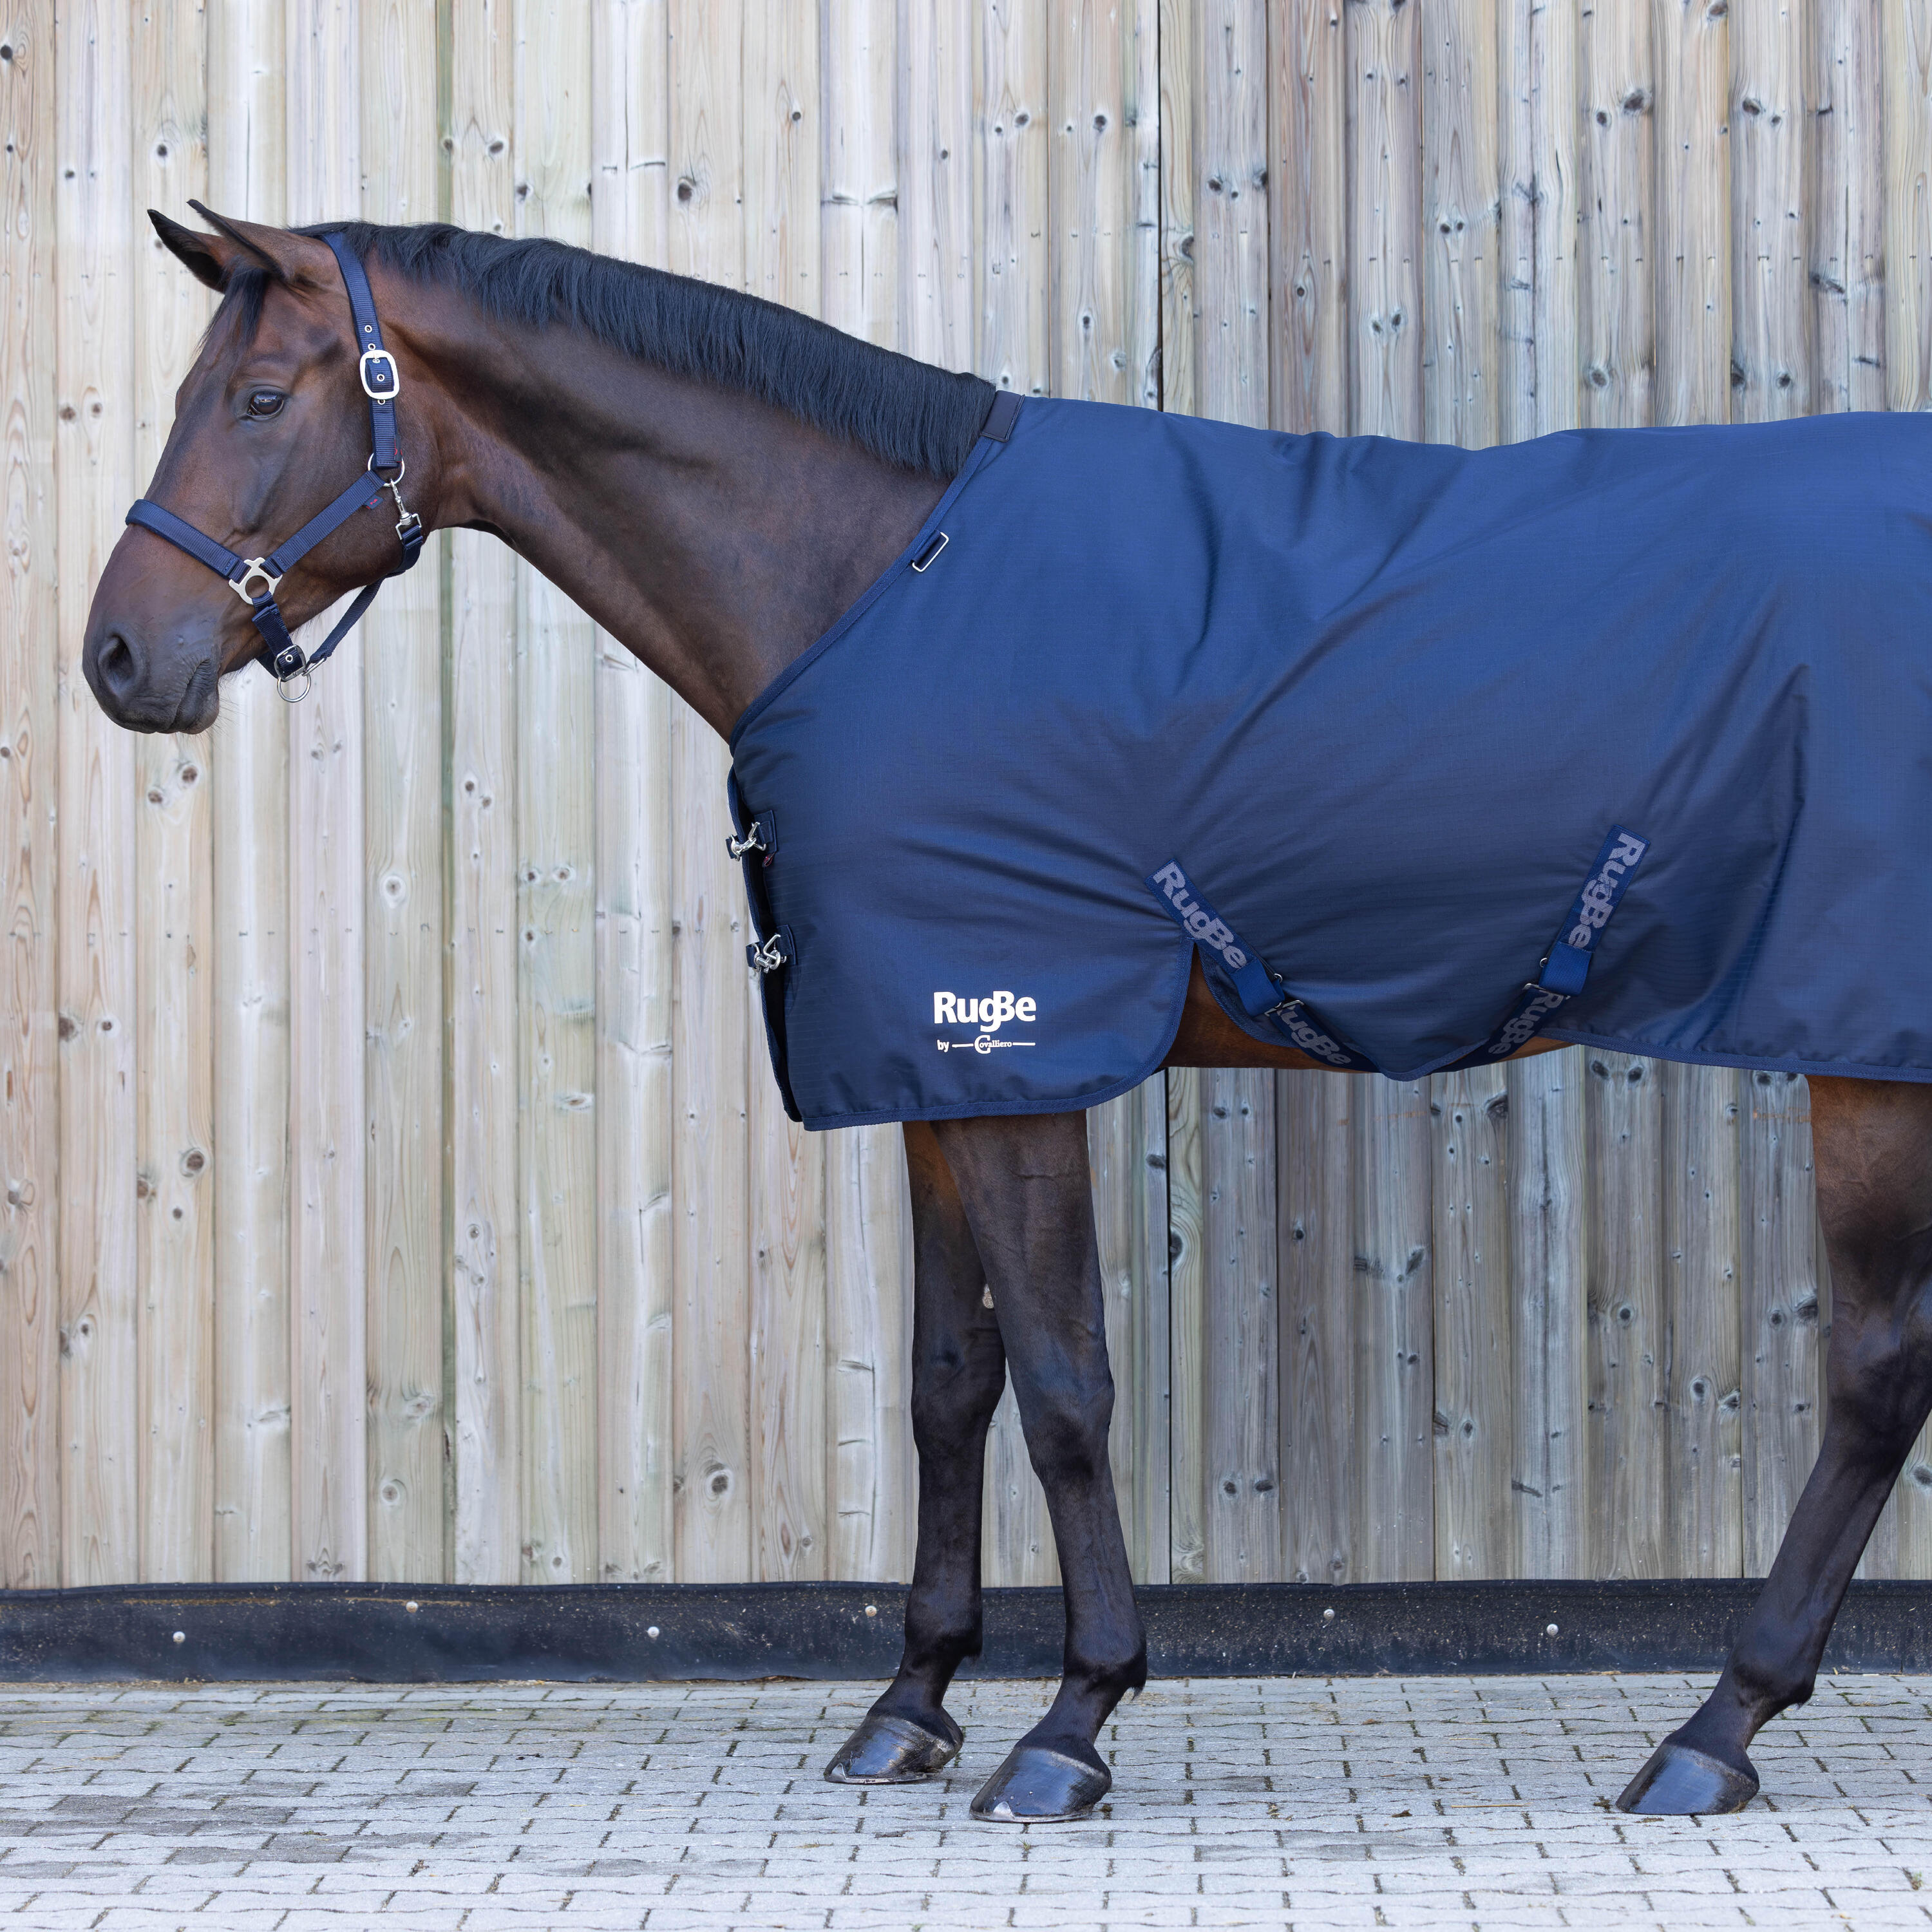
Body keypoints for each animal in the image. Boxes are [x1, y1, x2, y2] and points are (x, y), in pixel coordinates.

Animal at [83, 205, 1932, 1825]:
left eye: (261, 398)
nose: (118, 659)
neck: (879, 576)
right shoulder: (921, 1065)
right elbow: (947, 1382)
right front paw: (911, 1704)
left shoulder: (1011, 1043)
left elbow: (1060, 1384)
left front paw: (1071, 1722)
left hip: (1865, 1056)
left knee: (1873, 1371)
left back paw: (1715, 1729)